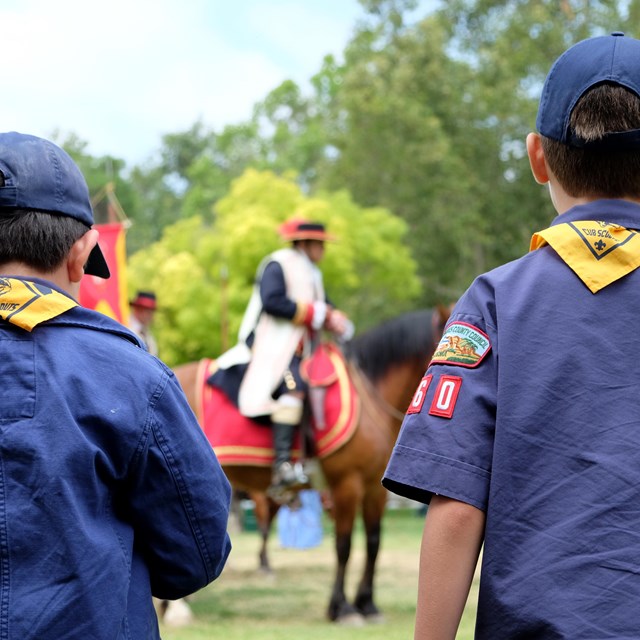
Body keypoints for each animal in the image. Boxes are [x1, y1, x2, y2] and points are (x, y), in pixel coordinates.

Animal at [172, 308, 448, 624]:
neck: (370, 399)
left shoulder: (374, 489)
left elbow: (373, 543)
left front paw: (367, 604)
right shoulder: (346, 484)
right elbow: (344, 546)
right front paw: (342, 608)